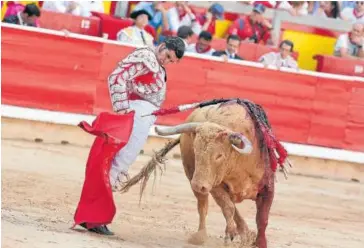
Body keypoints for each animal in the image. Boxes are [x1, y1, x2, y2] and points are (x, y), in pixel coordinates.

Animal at [121, 99, 292, 248]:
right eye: (196, 150)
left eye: (219, 155)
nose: (197, 185)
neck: (238, 162)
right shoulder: (213, 184)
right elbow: (227, 207)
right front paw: (230, 235)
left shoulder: (267, 189)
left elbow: (262, 219)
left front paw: (259, 242)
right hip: (196, 178)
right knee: (204, 206)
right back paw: (202, 236)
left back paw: (246, 234)